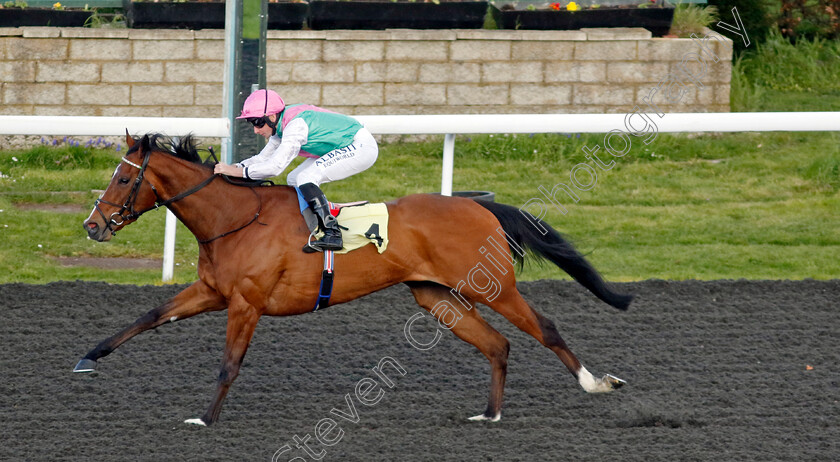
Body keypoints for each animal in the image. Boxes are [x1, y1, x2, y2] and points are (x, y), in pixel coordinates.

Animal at [75, 133, 632, 426]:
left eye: (122, 178)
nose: (92, 226)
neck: (234, 218)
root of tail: (481, 207)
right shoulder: (214, 292)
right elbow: (148, 316)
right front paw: (87, 358)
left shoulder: (246, 302)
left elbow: (229, 364)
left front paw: (205, 418)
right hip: (436, 296)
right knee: (497, 345)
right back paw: (488, 415)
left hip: (489, 285)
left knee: (545, 328)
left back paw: (596, 382)